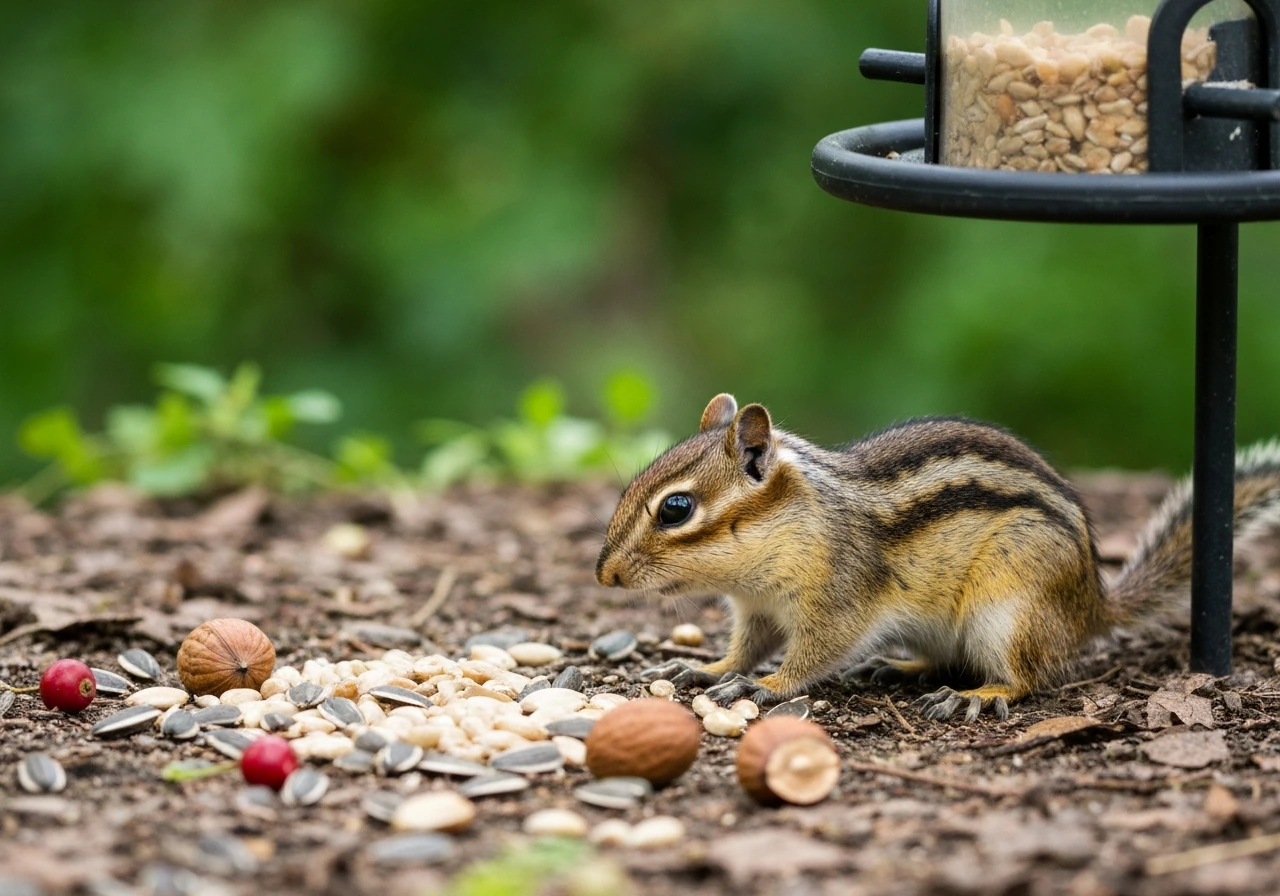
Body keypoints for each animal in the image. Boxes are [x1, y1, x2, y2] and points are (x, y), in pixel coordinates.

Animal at [595, 393, 1280, 721]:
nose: (605, 573)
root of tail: (1093, 604)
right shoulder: (757, 609)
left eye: (676, 508)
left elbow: (813, 653)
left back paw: (978, 694)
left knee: (1027, 676)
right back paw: (900, 667)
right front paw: (706, 669)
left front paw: (765, 685)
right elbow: (744, 646)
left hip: (1010, 608)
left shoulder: (838, 601)